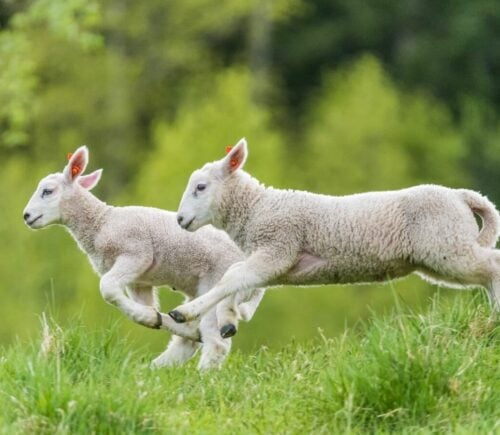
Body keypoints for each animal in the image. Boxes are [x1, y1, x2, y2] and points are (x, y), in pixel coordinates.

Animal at [22, 147, 266, 372]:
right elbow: (139, 305)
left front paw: (150, 317)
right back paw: (158, 363)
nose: (26, 216)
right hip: (199, 289)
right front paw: (151, 317)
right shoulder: (138, 281)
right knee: (189, 340)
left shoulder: (136, 253)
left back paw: (202, 375)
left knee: (216, 343)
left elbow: (107, 289)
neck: (101, 223)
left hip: (217, 283)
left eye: (47, 191)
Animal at [171, 140, 500, 338]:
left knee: (493, 265)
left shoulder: (278, 247)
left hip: (446, 244)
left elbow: (232, 277)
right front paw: (228, 320)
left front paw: (185, 312)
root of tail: (461, 196)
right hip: (440, 252)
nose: (180, 220)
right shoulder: (276, 262)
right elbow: (238, 278)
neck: (257, 208)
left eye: (200, 187)